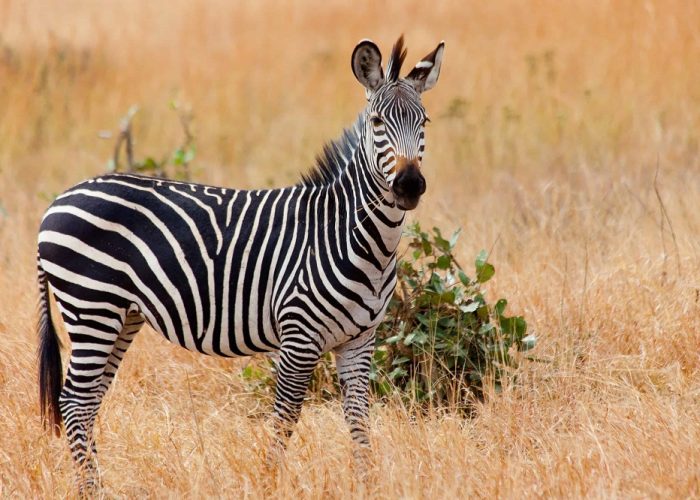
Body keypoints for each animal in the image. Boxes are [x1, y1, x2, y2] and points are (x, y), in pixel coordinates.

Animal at [37, 36, 442, 492]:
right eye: (376, 122)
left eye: (424, 121)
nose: (409, 185)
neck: (356, 237)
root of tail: (58, 200)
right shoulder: (299, 337)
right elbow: (285, 418)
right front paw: (269, 483)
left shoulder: (360, 340)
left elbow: (359, 420)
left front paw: (367, 485)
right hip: (91, 307)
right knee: (73, 402)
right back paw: (91, 490)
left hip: (121, 316)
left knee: (87, 402)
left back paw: (96, 486)